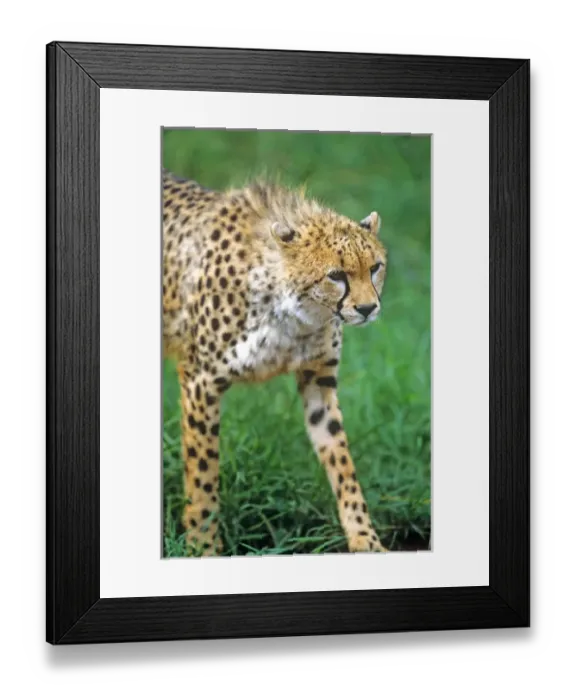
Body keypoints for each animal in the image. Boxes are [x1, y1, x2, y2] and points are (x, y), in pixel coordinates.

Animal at [162, 168, 389, 556]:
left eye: (375, 267)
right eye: (336, 275)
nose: (367, 308)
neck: (295, 313)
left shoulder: (318, 382)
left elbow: (342, 462)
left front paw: (365, 538)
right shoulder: (199, 381)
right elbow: (203, 474)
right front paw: (203, 546)